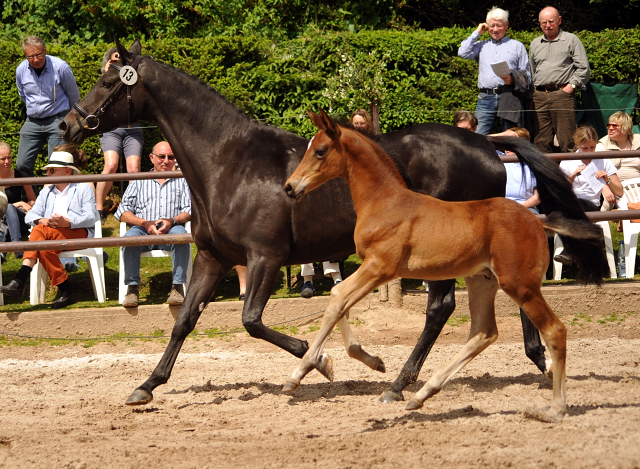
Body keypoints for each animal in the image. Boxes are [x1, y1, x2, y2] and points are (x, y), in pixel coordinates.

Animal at [284, 109, 604, 420]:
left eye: (320, 151)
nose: (289, 187)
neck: (385, 202)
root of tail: (538, 221)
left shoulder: (380, 267)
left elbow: (337, 299)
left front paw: (300, 373)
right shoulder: (372, 269)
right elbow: (339, 300)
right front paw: (368, 361)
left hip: (519, 284)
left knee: (554, 330)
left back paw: (556, 408)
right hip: (483, 281)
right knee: (484, 332)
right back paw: (422, 393)